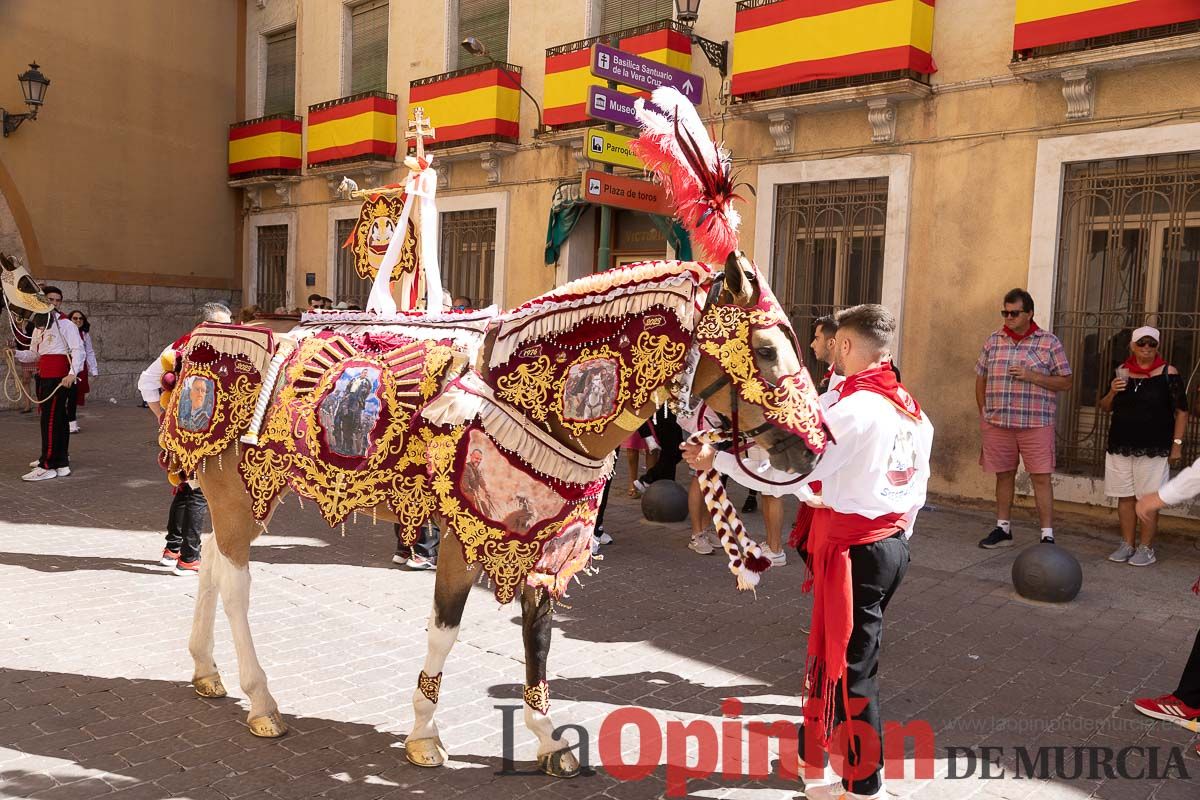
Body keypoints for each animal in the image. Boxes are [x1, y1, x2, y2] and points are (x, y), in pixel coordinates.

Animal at [157, 90, 835, 777]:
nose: (810, 447)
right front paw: (424, 734)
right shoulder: (464, 535)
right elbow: (445, 630)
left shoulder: (545, 545)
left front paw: (549, 739)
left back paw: (206, 669)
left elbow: (539, 639)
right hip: (240, 492)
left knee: (213, 561)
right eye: (767, 348)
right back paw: (261, 699)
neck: (526, 400)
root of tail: (199, 341)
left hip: (237, 491)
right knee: (237, 586)